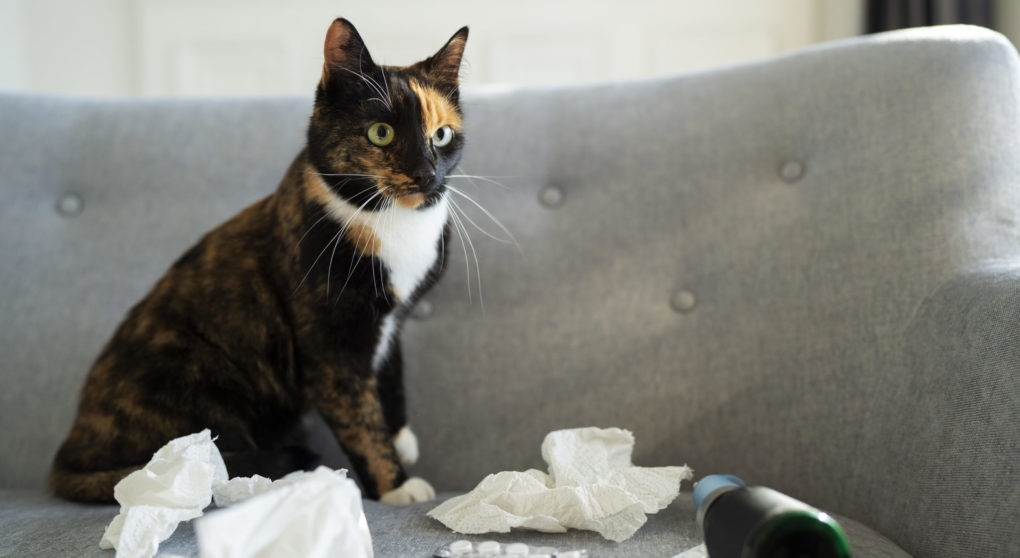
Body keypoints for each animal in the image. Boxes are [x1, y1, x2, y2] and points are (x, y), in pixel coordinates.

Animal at [45, 18, 465, 505]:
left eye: (442, 135)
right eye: (382, 133)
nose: (426, 175)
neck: (390, 221)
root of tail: (70, 452)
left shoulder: (391, 320)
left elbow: (390, 372)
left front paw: (401, 436)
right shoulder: (330, 346)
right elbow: (359, 417)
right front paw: (395, 484)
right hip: (199, 372)